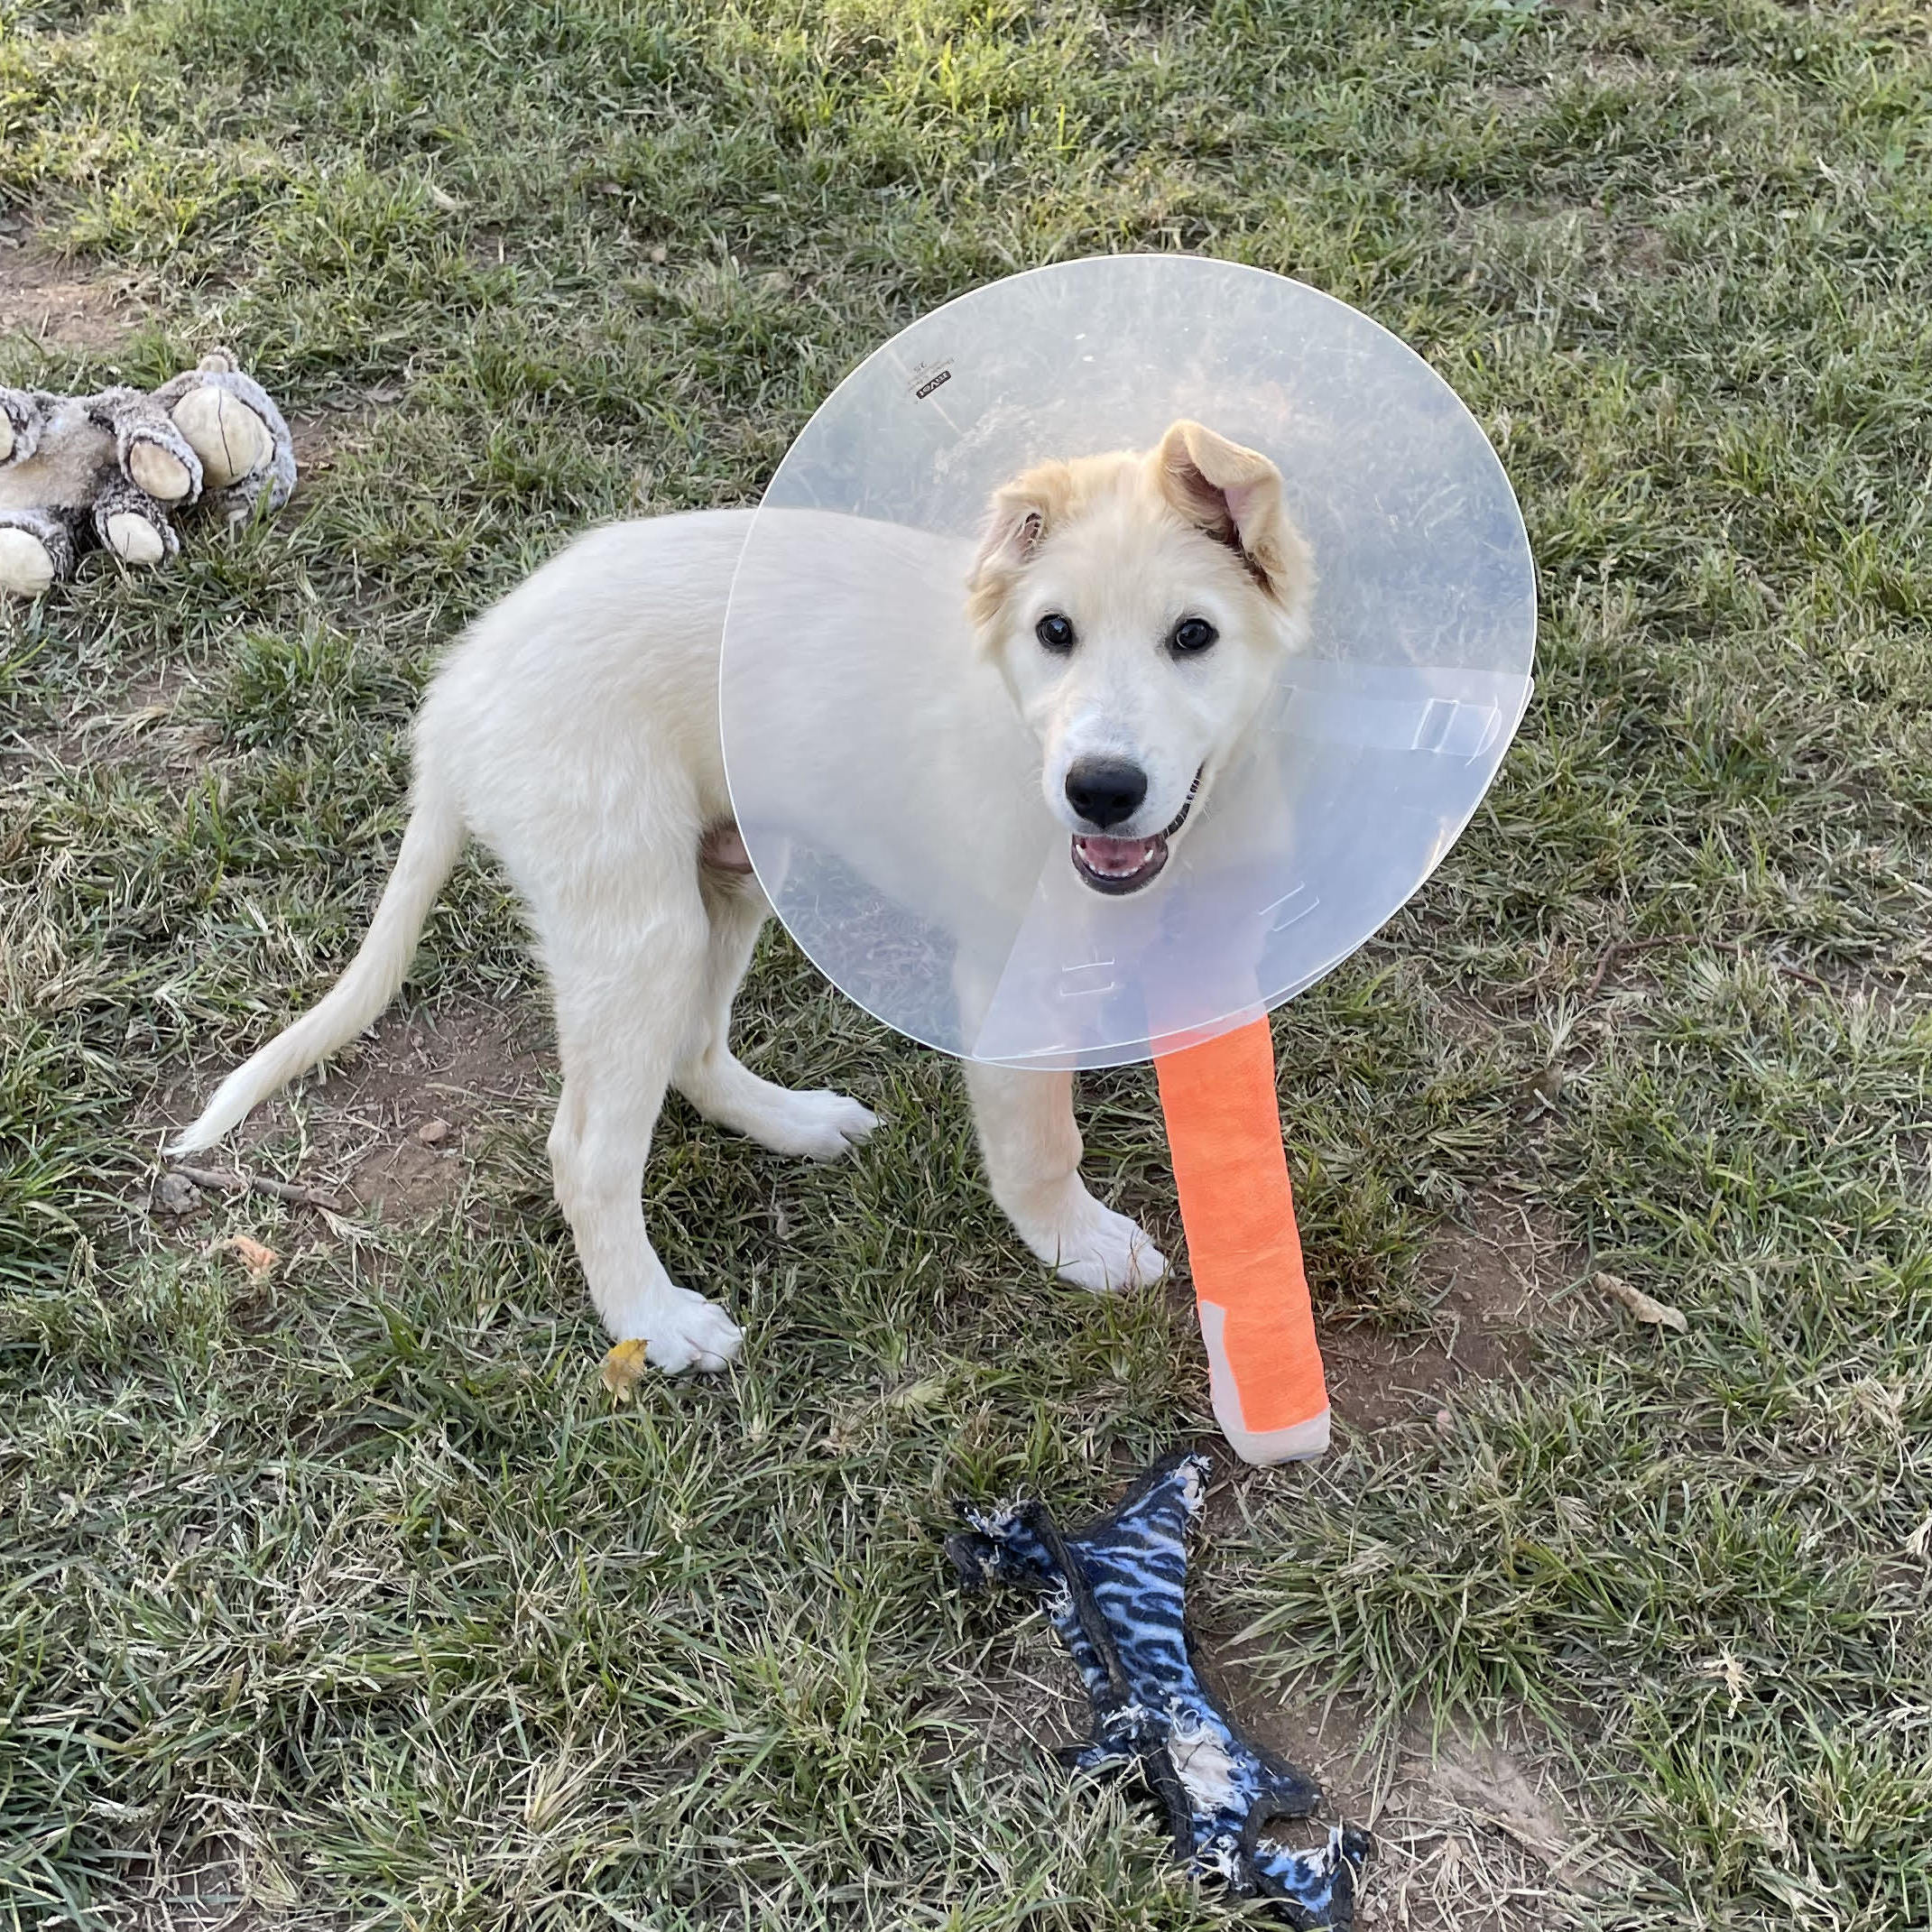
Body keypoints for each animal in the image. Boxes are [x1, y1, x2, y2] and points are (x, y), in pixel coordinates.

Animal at [173, 422, 1306, 1375]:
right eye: (1053, 631)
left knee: (691, 1052)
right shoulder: (1010, 987)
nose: (1099, 789)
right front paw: (1079, 1244)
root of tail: (456, 694)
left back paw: (792, 1122)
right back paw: (652, 1318)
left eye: (1193, 636)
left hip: (730, 875)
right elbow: (1039, 1140)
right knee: (585, 1152)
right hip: (640, 923)